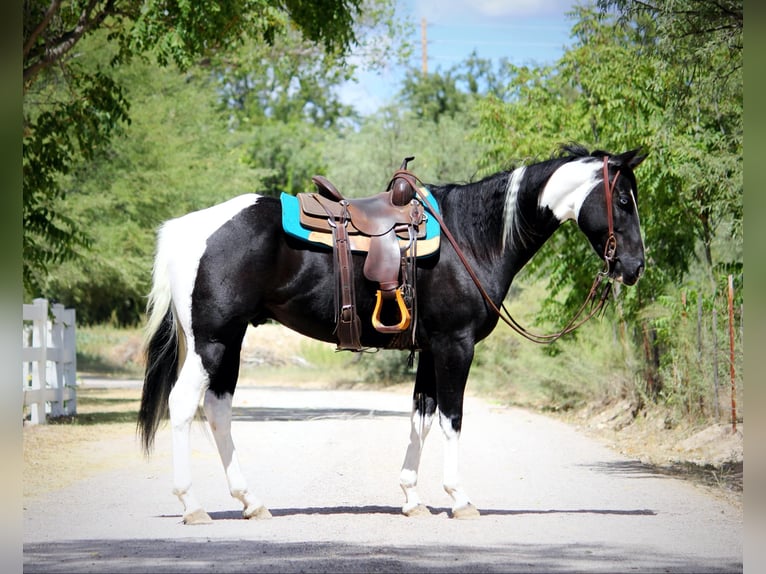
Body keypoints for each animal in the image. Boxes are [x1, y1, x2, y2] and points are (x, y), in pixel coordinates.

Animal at [138, 143, 646, 524]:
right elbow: (452, 419)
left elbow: (421, 417)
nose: (635, 266)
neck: (472, 238)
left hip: (229, 343)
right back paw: (193, 505)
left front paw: (412, 498)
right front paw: (459, 499)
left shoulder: (430, 349)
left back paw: (251, 502)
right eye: (623, 201)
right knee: (183, 406)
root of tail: (186, 229)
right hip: (212, 341)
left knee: (217, 410)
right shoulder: (455, 345)